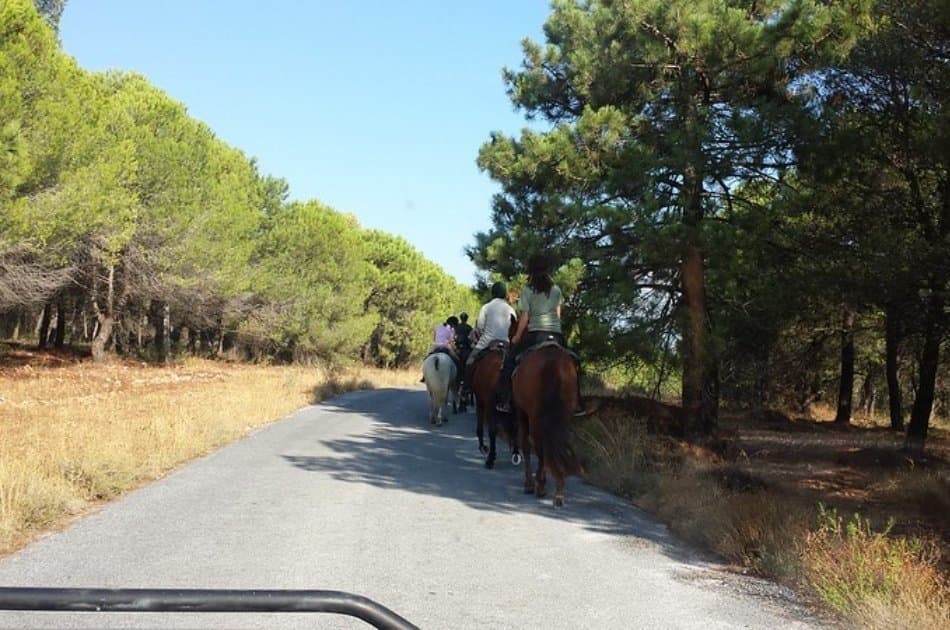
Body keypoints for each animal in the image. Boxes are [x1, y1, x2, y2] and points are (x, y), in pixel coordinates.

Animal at [512, 343, 581, 507]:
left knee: (539, 446)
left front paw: (529, 484)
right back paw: (559, 489)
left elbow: (526, 445)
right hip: (563, 417)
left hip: (534, 417)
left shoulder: (521, 412)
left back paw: (541, 485)